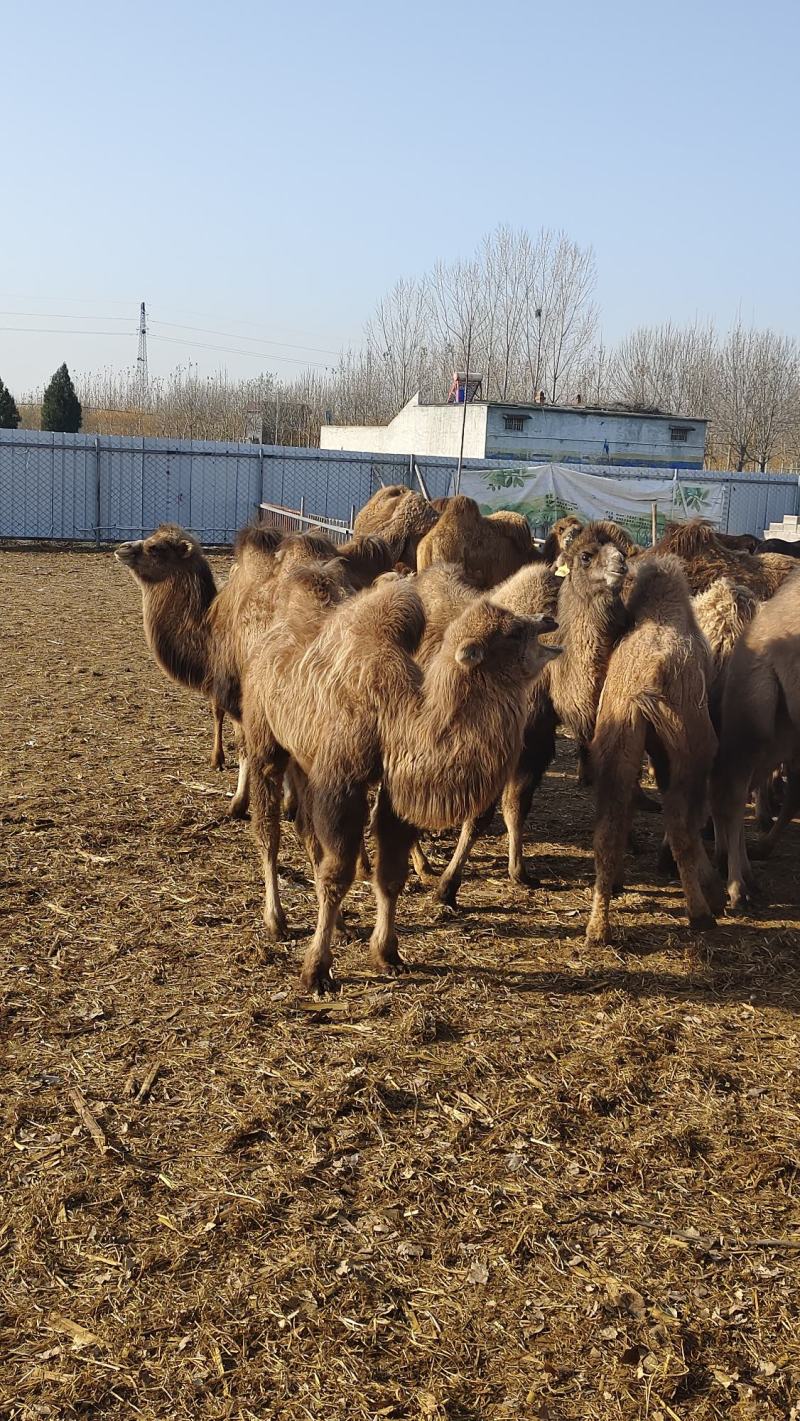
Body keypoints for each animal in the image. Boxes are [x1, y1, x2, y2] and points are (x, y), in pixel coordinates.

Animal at [241, 565, 559, 989]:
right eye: (510, 632)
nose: (548, 621)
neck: (398, 715)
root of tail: (268, 641)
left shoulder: (394, 791)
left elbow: (390, 874)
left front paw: (387, 953)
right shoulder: (342, 782)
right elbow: (338, 874)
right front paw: (316, 969)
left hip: (304, 759)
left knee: (306, 832)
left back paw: (341, 926)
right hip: (266, 742)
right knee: (268, 832)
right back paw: (276, 921)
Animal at [585, 554, 721, 943]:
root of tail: (649, 678)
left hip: (616, 743)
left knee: (608, 828)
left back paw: (598, 927)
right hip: (688, 753)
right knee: (681, 825)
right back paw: (701, 912)